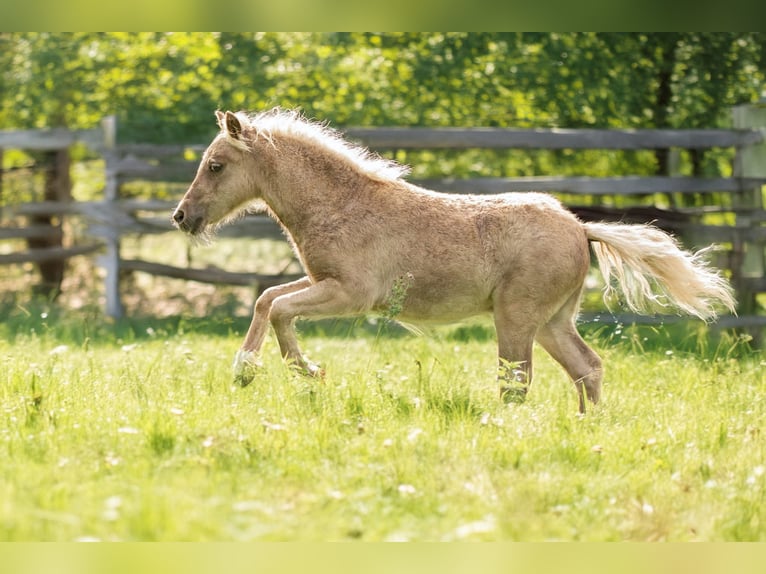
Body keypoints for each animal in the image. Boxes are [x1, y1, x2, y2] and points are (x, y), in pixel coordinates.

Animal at [172, 108, 736, 413]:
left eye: (216, 165)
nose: (182, 216)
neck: (341, 204)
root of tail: (581, 227)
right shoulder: (323, 283)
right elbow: (268, 299)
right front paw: (246, 370)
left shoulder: (351, 294)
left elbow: (279, 308)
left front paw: (305, 371)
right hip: (552, 321)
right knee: (586, 368)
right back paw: (587, 428)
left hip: (516, 318)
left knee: (517, 381)